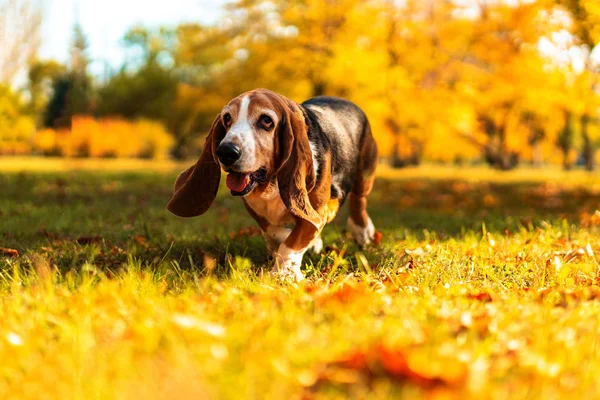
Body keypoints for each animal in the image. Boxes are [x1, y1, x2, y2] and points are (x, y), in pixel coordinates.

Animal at [166, 87, 378, 282]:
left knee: (359, 202)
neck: (270, 183)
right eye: (227, 118)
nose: (226, 151)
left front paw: (283, 273)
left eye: (266, 120)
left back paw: (363, 232)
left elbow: (294, 240)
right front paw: (287, 248)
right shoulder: (257, 210)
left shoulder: (319, 210)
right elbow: (275, 233)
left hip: (364, 176)